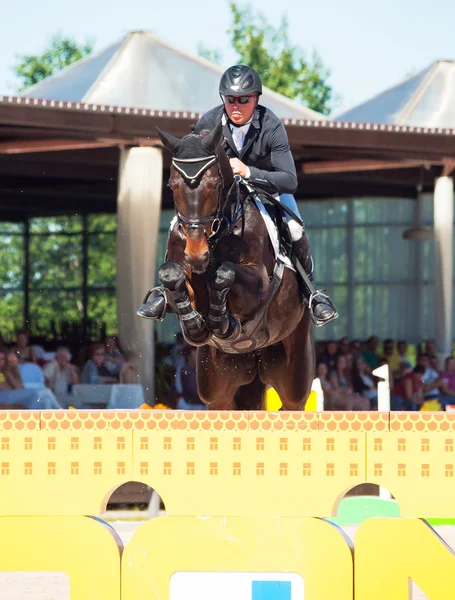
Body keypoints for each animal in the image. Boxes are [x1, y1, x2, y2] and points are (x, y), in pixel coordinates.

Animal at [155, 122, 316, 412]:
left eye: (214, 185)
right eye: (172, 186)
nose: (196, 253)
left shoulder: (259, 283)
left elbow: (224, 273)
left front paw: (223, 323)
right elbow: (171, 275)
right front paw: (195, 326)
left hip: (295, 375)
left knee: (292, 402)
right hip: (218, 392)